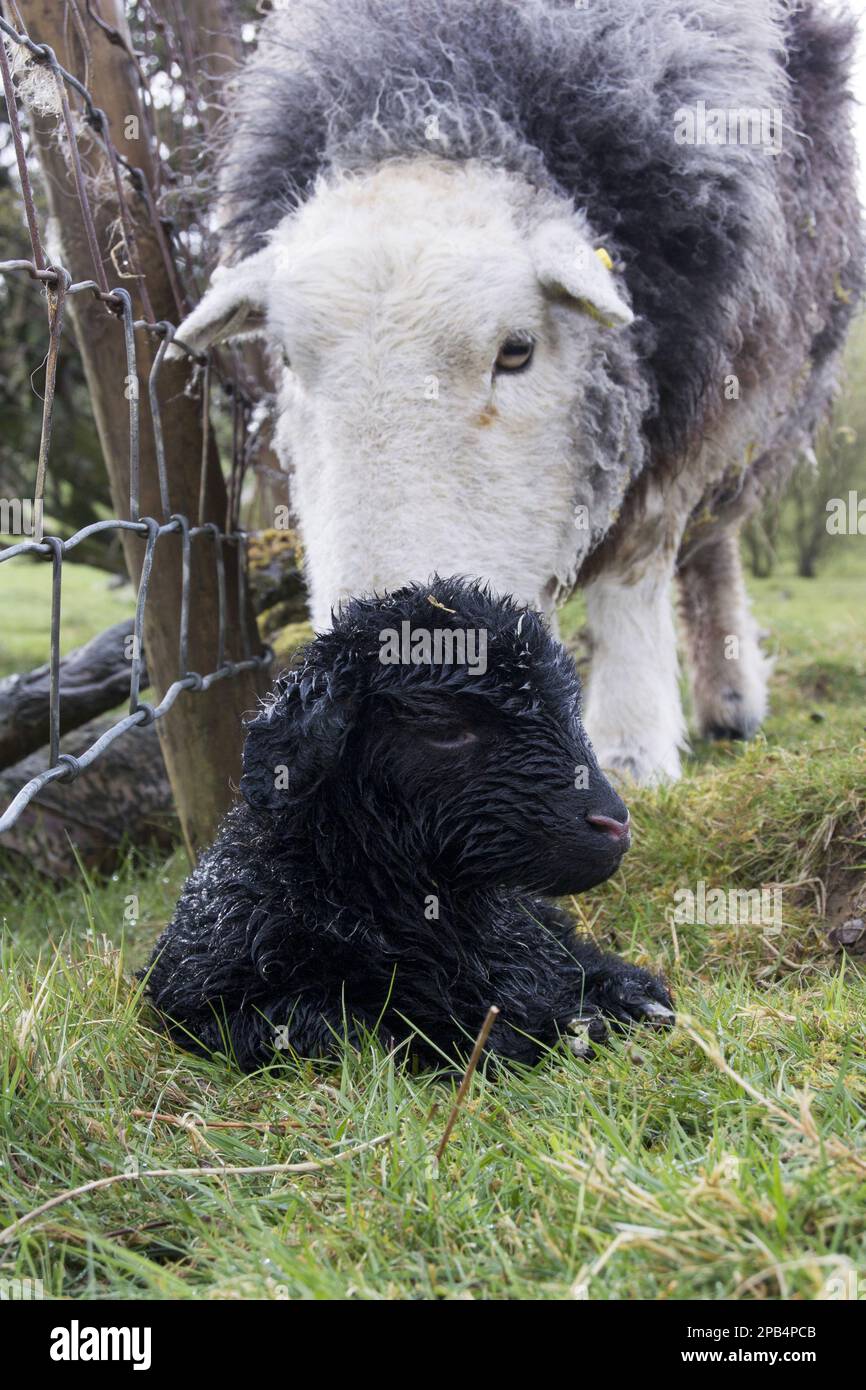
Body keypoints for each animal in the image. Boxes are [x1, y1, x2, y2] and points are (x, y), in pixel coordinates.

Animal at [172, 0, 863, 784]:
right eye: (287, 359)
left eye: (517, 351)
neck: (445, 82)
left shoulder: (692, 392)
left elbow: (636, 565)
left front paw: (630, 749)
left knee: (712, 545)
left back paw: (731, 697)